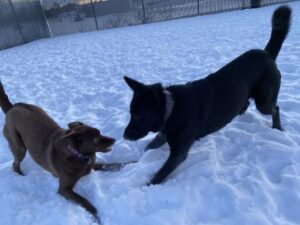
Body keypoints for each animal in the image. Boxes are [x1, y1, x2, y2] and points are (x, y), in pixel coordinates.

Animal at [0, 81, 116, 221]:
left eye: (100, 132)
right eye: (95, 138)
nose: (114, 139)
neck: (78, 154)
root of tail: (12, 108)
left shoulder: (93, 166)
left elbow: (113, 165)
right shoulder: (64, 189)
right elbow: (84, 201)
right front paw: (97, 218)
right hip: (18, 146)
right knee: (15, 163)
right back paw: (20, 175)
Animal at [122, 6, 290, 185]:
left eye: (138, 115)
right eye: (131, 113)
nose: (124, 136)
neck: (172, 108)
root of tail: (267, 54)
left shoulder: (178, 153)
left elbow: (158, 175)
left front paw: (145, 186)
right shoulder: (163, 136)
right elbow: (146, 149)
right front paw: (128, 165)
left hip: (264, 102)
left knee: (275, 108)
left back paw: (277, 128)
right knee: (246, 105)